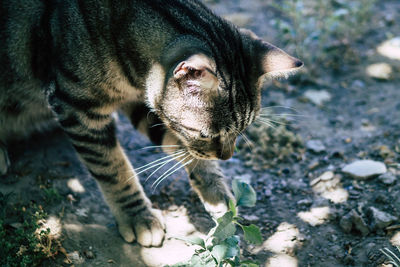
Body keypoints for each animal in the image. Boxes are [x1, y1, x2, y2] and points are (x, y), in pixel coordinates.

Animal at [0, 0, 300, 248]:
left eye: (242, 130)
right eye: (207, 134)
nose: (226, 157)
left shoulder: (141, 102)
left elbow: (181, 147)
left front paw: (217, 195)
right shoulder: (76, 108)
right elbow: (113, 167)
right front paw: (137, 216)